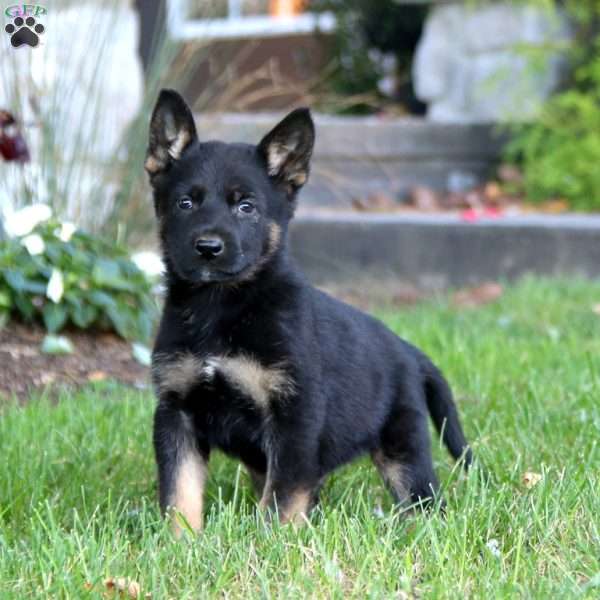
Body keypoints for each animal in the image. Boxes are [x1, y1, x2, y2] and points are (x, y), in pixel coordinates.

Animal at [146, 90, 474, 536]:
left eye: (246, 207)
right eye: (185, 203)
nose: (208, 248)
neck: (222, 305)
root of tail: (408, 350)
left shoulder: (294, 417)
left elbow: (283, 494)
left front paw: (270, 542)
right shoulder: (176, 411)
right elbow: (179, 491)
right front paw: (181, 542)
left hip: (401, 446)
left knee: (423, 498)